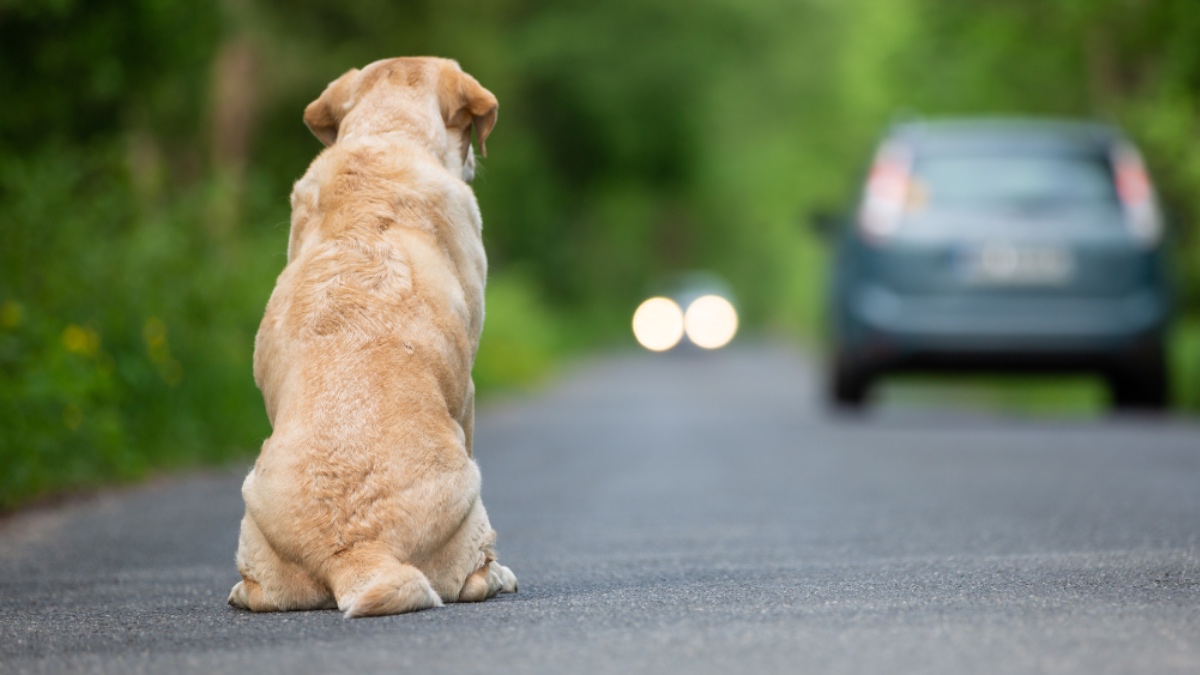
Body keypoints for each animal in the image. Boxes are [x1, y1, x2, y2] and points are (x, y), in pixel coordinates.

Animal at [229, 57, 516, 614]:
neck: (386, 134)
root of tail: (358, 550)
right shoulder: (468, 389)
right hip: (471, 499)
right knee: (472, 576)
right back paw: (498, 575)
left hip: (253, 512)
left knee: (258, 592)